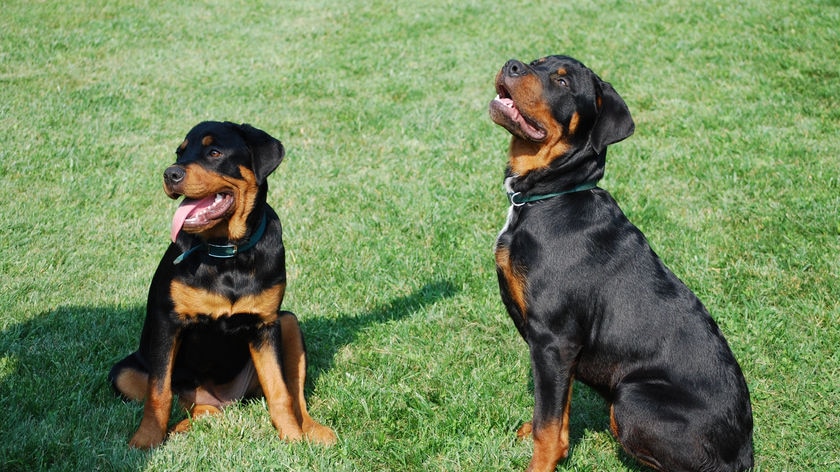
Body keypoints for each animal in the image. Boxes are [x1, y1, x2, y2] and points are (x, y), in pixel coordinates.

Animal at [107, 120, 334, 448]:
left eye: (214, 152)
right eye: (180, 152)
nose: (170, 174)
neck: (227, 253)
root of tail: (222, 400)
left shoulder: (265, 325)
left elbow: (280, 391)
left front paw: (292, 439)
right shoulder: (167, 322)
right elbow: (158, 393)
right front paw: (145, 442)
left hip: (287, 322)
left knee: (294, 389)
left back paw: (313, 429)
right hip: (124, 372)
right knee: (181, 400)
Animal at [488, 56, 752, 472]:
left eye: (562, 82)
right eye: (536, 61)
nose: (512, 64)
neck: (553, 194)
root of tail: (744, 453)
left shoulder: (553, 338)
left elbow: (549, 425)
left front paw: (539, 462)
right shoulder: (561, 351)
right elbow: (557, 414)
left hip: (632, 398)